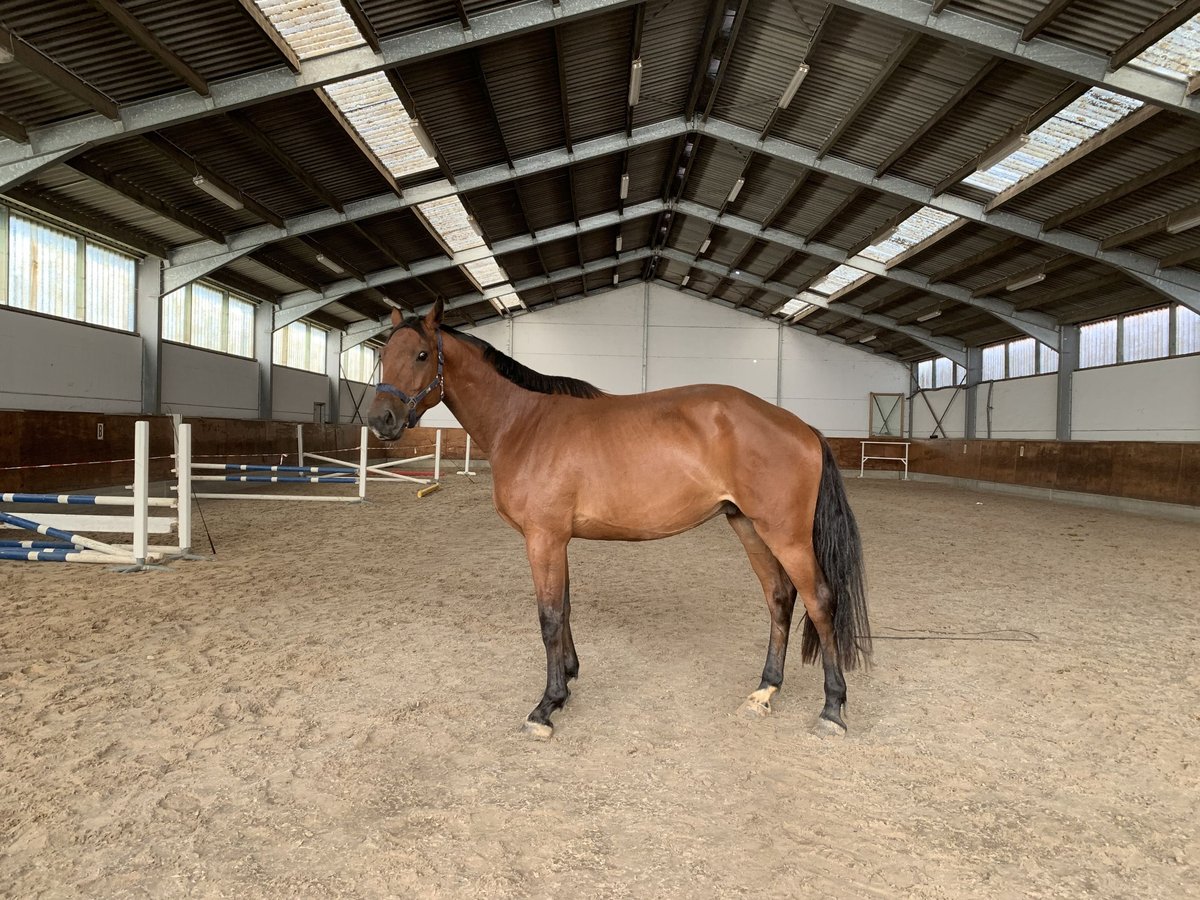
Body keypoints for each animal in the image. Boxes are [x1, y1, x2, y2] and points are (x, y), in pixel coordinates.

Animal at [367, 303, 873, 739]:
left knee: (820, 601)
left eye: (421, 354)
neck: (524, 422)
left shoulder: (543, 539)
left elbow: (549, 617)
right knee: (779, 597)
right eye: (382, 356)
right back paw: (765, 690)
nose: (381, 420)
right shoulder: (557, 540)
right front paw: (568, 679)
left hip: (786, 536)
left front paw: (545, 707)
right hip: (749, 527)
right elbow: (565, 608)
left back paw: (832, 708)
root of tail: (802, 427)